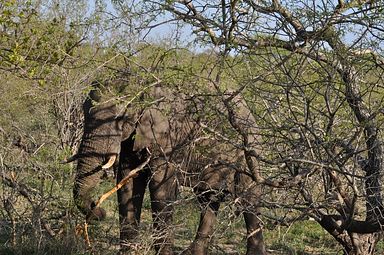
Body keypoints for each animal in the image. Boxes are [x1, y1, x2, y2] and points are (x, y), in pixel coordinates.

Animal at [70, 76, 266, 255]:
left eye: (119, 118)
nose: (99, 210)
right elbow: (128, 181)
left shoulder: (167, 134)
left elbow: (161, 187)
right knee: (208, 197)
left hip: (249, 147)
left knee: (249, 199)